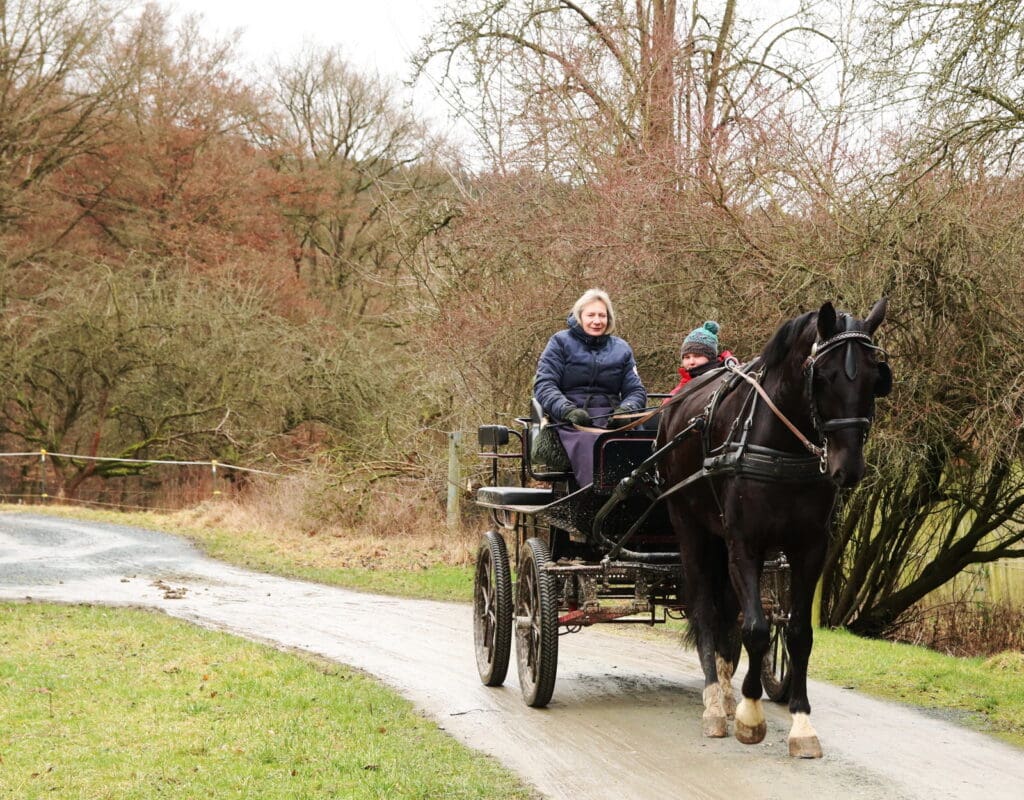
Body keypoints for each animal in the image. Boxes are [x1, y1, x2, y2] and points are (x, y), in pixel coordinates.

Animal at [659, 297, 892, 753]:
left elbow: (797, 632)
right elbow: (756, 629)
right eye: (824, 375)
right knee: (705, 609)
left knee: (726, 610)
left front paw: (801, 722)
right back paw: (714, 702)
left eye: (876, 377)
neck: (781, 446)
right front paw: (750, 716)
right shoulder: (745, 544)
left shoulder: (809, 548)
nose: (848, 469)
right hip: (691, 529)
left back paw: (726, 689)